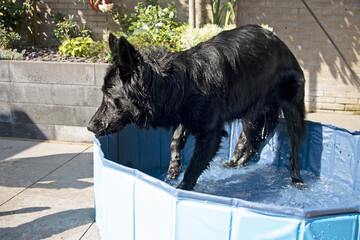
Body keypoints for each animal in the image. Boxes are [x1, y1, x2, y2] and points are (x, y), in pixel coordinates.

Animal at [88, 23, 306, 189]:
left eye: (109, 97)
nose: (90, 126)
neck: (180, 83)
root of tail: (283, 46)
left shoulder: (210, 134)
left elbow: (193, 168)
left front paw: (179, 190)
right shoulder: (186, 115)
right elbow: (175, 140)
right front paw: (173, 169)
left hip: (292, 112)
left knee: (294, 149)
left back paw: (297, 180)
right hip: (250, 115)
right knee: (250, 143)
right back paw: (234, 164)